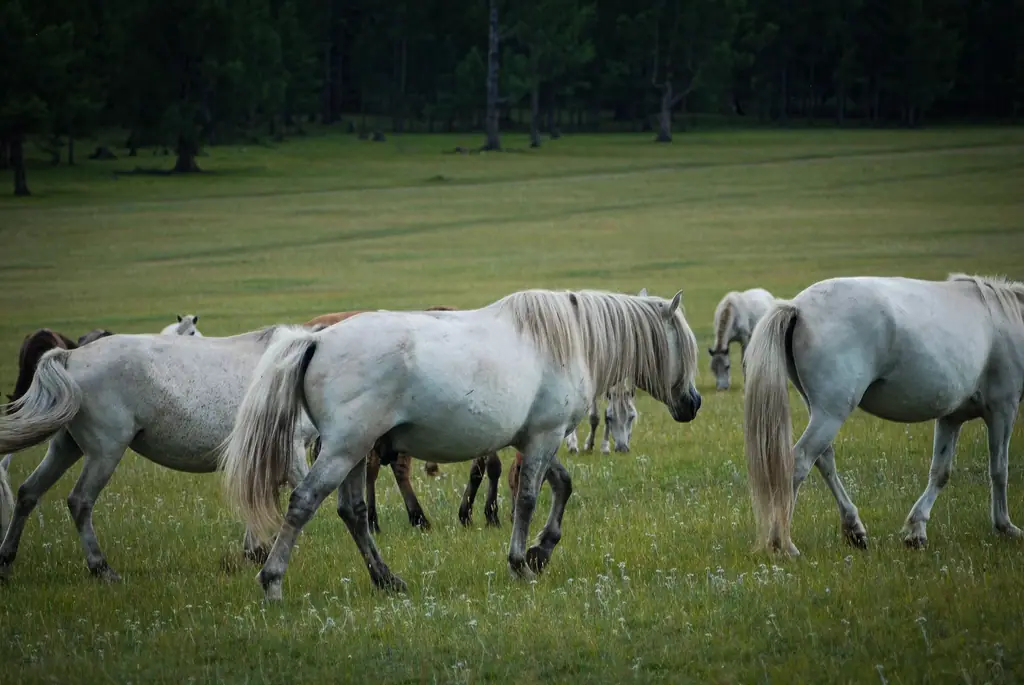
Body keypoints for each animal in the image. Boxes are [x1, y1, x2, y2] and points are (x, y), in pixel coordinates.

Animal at [0, 325, 316, 582]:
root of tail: (71, 357)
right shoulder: (293, 452)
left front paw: (257, 551)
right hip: (105, 452)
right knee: (80, 502)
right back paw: (102, 568)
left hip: (66, 447)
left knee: (28, 493)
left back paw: (6, 560)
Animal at [219, 287, 702, 600]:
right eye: (684, 345)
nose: (693, 403)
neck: (569, 338)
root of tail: (318, 338)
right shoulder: (545, 436)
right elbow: (528, 499)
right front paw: (520, 562)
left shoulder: (534, 438)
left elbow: (561, 486)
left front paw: (541, 550)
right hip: (343, 450)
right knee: (303, 502)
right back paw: (273, 581)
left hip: (354, 452)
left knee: (352, 512)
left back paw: (387, 580)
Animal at [743, 273, 1024, 557]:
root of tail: (798, 307)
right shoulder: (1003, 409)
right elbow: (999, 469)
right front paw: (1005, 525)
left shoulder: (951, 418)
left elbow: (941, 472)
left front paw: (917, 530)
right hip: (830, 415)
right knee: (799, 462)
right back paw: (783, 543)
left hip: (821, 413)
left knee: (824, 461)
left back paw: (853, 529)